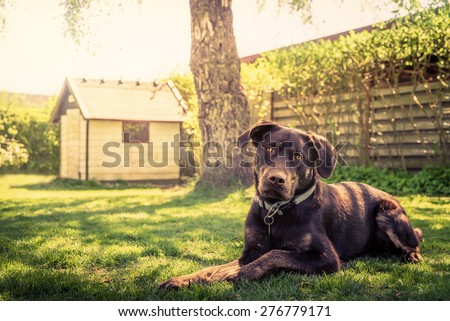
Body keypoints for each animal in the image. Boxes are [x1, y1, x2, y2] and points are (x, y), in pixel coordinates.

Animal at [161, 121, 422, 288]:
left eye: (297, 157)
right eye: (268, 149)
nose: (276, 179)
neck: (277, 211)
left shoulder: (326, 257)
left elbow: (276, 254)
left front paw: (244, 273)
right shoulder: (250, 250)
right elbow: (214, 268)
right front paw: (184, 279)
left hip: (387, 211)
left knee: (415, 243)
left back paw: (412, 256)